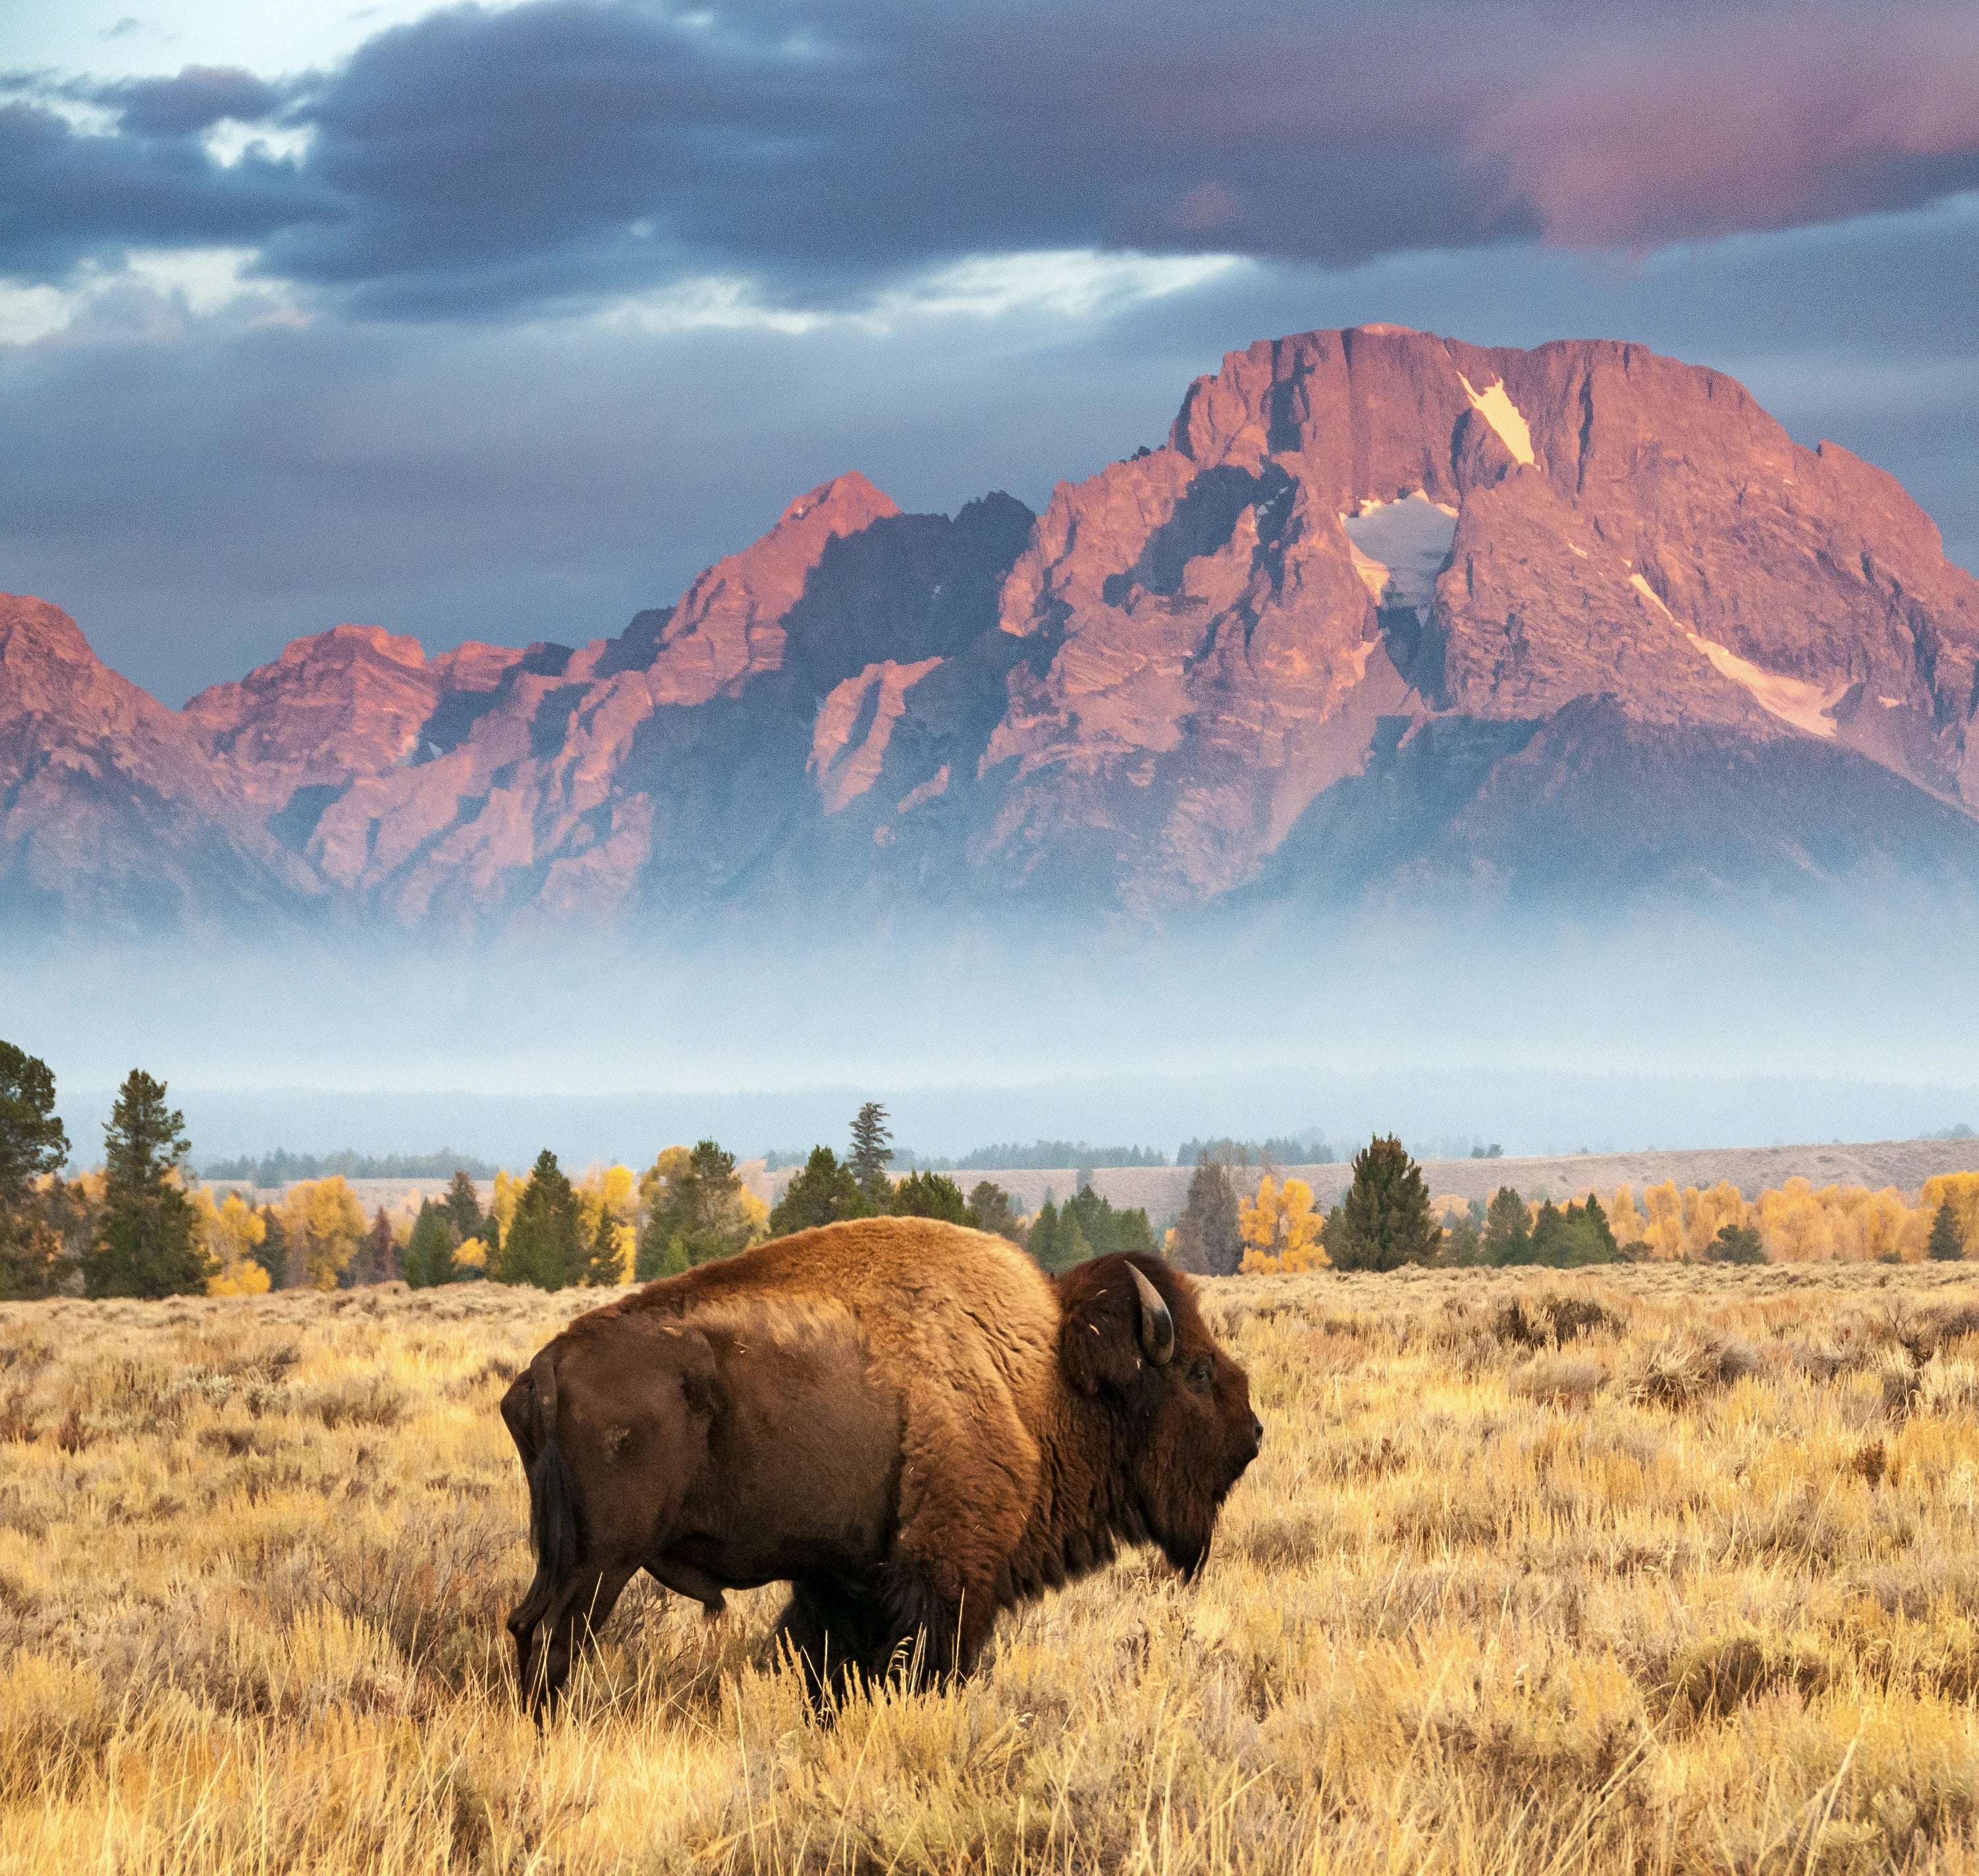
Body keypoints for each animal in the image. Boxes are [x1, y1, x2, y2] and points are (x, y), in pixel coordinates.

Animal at [501, 1217, 1261, 1713]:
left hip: (565, 1559)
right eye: (1196, 1372)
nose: (1252, 1433)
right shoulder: (948, 1576)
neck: (1041, 1375)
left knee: (524, 1627)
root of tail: (545, 1370)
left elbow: (828, 1667)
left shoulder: (845, 1579)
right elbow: (930, 1667)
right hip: (601, 1564)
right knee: (554, 1641)